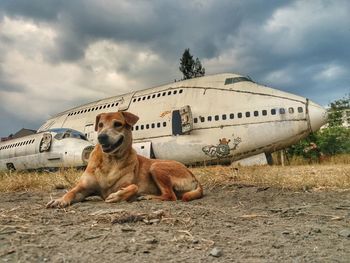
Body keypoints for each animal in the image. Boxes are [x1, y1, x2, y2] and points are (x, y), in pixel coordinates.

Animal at [47, 111, 204, 208]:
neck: (111, 161)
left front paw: (117, 196)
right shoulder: (83, 188)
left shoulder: (128, 184)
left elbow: (133, 187)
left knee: (170, 195)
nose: (101, 137)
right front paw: (59, 200)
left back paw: (147, 197)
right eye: (101, 125)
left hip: (156, 166)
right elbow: (71, 192)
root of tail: (193, 175)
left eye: (117, 124)